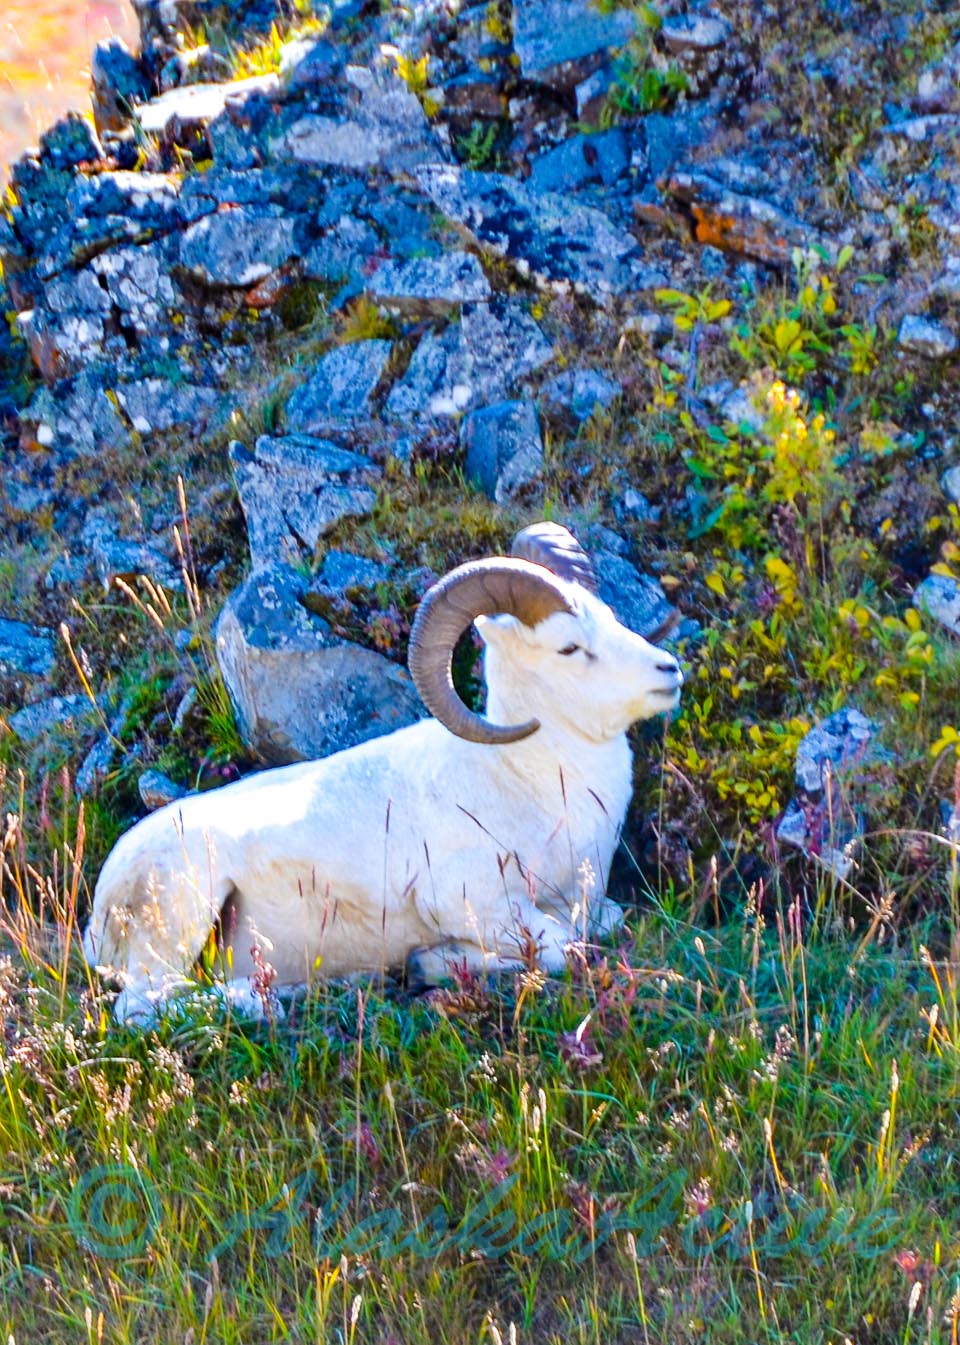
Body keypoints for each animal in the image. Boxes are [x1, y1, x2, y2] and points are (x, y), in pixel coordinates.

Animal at [84, 524, 680, 1016]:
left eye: (610, 619)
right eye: (570, 647)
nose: (669, 670)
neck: (524, 781)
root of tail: (102, 911)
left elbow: (600, 924)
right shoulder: (477, 903)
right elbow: (562, 946)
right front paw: (428, 963)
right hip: (185, 912)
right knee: (144, 1005)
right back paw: (270, 999)